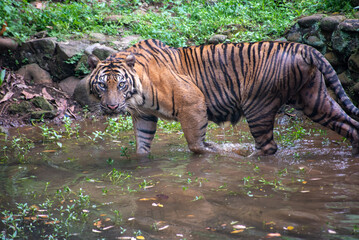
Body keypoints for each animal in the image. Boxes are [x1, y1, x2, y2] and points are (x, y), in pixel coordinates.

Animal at [86, 39, 359, 156]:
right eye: (102, 85)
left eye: (121, 84)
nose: (111, 107)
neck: (136, 95)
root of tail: (303, 47)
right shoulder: (144, 116)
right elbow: (142, 146)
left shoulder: (193, 102)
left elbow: (196, 144)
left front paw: (214, 150)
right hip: (315, 100)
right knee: (350, 125)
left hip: (258, 106)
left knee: (267, 146)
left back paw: (243, 159)